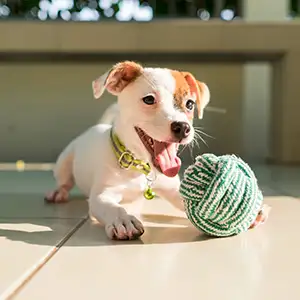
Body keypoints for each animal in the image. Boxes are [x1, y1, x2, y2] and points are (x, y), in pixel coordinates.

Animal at [44, 60, 264, 239]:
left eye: (190, 104)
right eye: (149, 99)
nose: (182, 127)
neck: (140, 168)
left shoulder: (174, 189)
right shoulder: (102, 195)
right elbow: (112, 207)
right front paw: (124, 219)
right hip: (64, 162)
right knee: (64, 180)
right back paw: (57, 192)